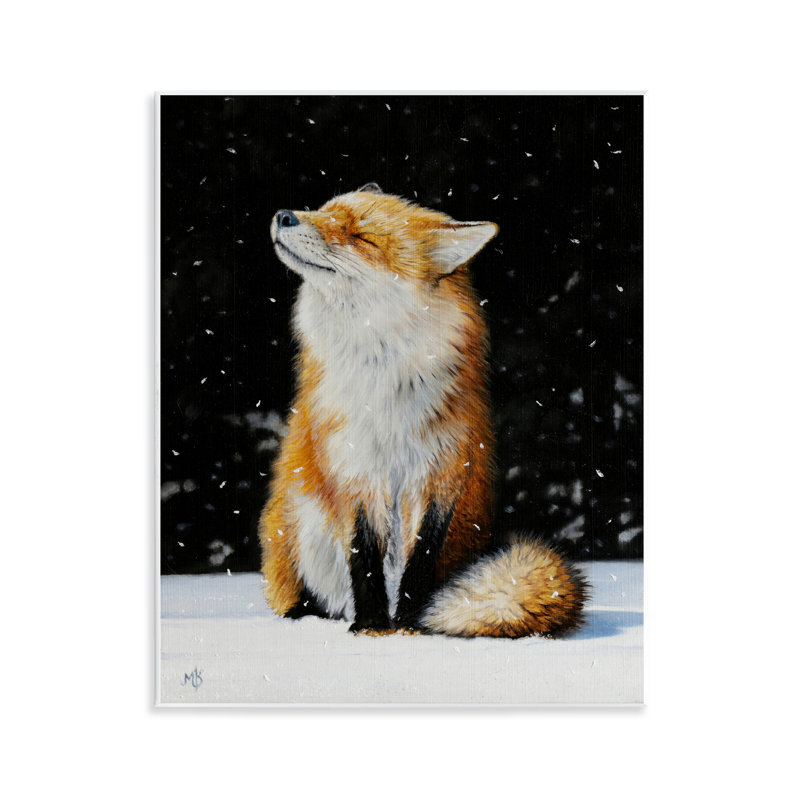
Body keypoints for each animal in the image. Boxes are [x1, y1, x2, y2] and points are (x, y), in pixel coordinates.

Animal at [258, 183, 586, 637]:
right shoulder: (355, 473)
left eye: (362, 237)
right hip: (299, 524)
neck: (385, 388)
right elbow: (364, 560)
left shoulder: (443, 472)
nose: (284, 215)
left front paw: (411, 624)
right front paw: (373, 627)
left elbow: (421, 560)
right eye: (324, 210)